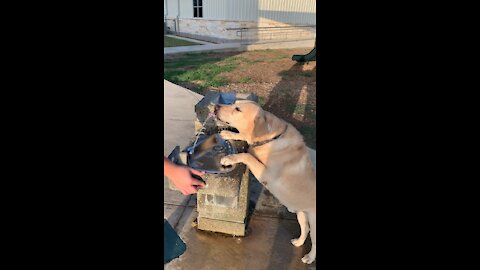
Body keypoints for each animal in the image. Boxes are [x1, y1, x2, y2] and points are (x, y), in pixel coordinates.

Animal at [216, 99, 316, 264]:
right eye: (234, 103)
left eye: (238, 109)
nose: (216, 106)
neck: (273, 138)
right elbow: (245, 139)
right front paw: (229, 133)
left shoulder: (267, 174)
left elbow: (247, 155)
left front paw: (229, 158)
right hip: (302, 212)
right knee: (305, 228)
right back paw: (298, 242)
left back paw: (309, 257)